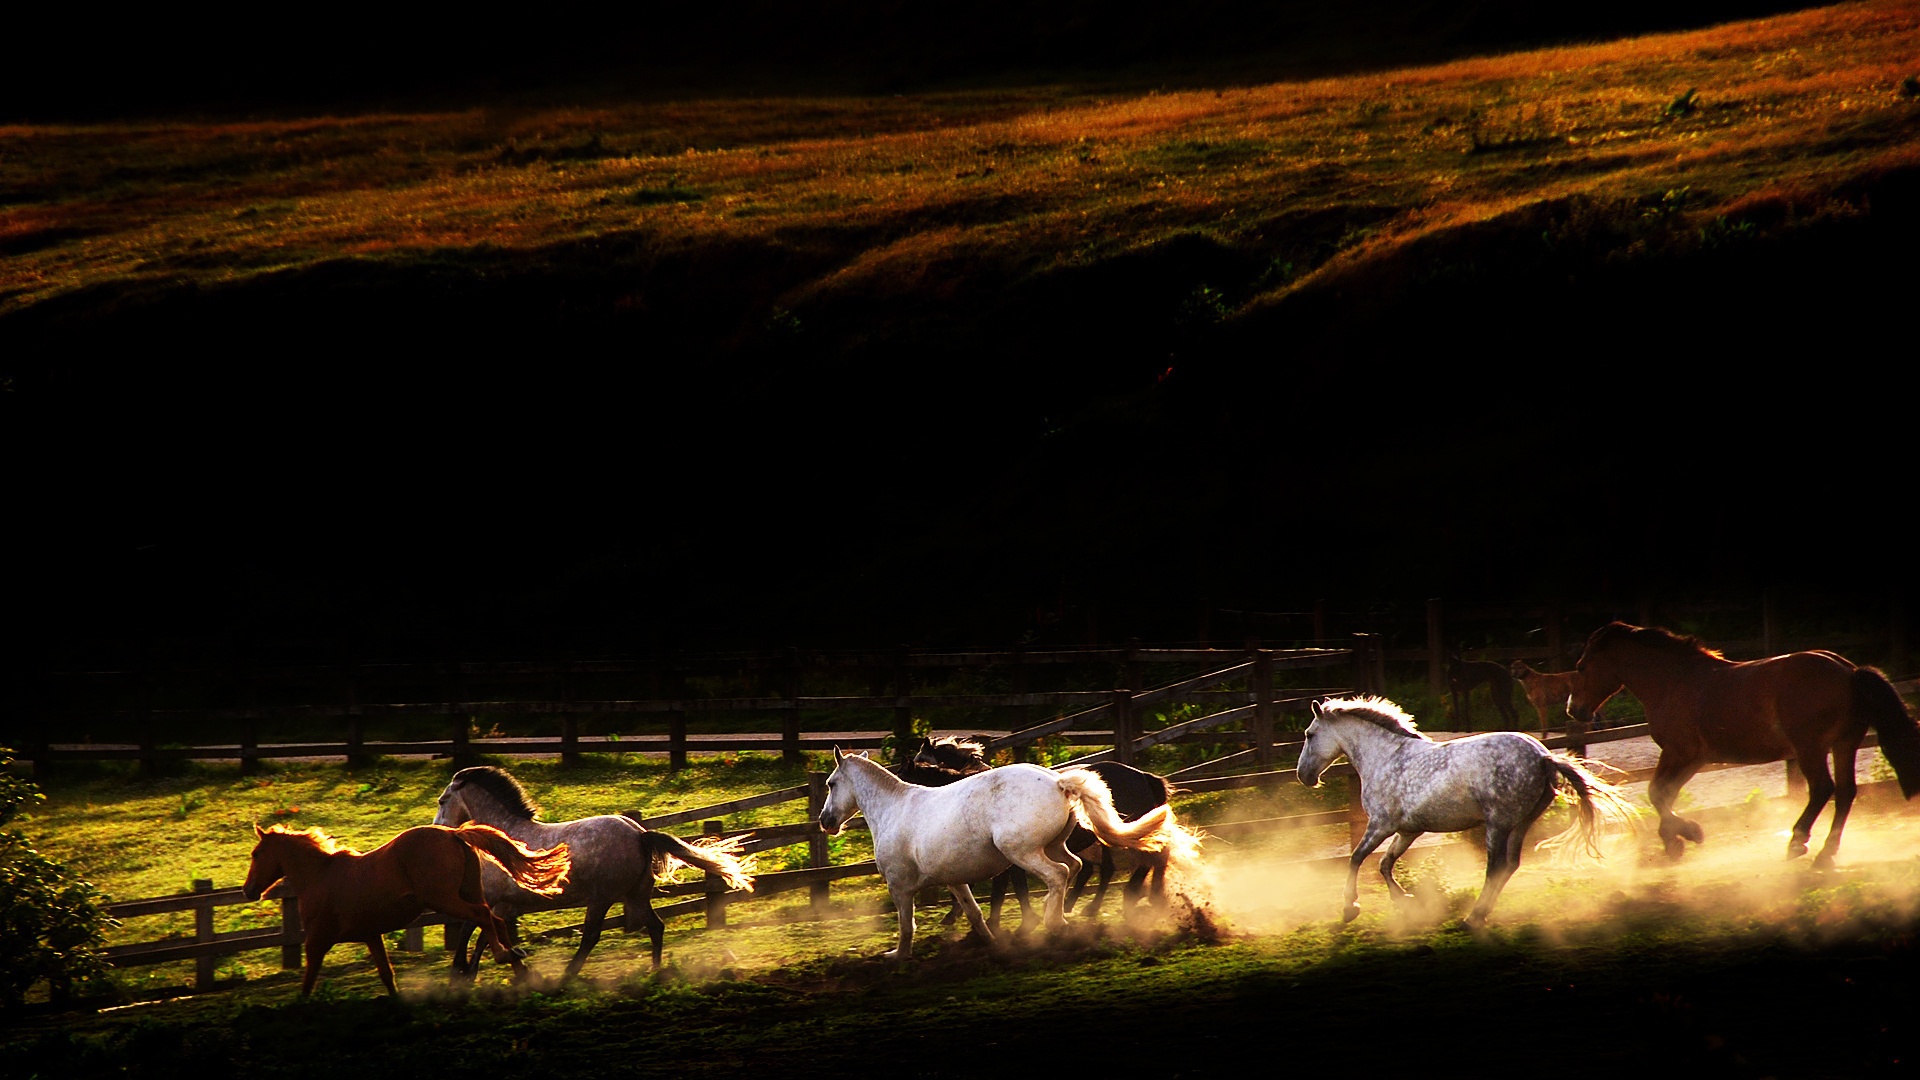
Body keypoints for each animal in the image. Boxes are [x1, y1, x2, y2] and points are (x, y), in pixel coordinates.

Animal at [241, 822, 570, 996]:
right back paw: (520, 968)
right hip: (466, 893)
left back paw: (504, 957)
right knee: (496, 920)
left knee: (483, 916)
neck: (320, 875)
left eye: (256, 853)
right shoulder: (371, 935)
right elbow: (387, 975)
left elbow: (308, 982)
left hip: (444, 899)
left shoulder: (316, 942)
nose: (248, 890)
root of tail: (452, 833)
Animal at [432, 765, 754, 979]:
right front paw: (505, 969)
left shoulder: (495, 900)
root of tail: (640, 834)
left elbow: (473, 931)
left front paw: (463, 971)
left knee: (591, 936)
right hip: (635, 896)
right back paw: (655, 969)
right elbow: (488, 935)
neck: (503, 837)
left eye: (442, 800)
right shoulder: (504, 906)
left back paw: (568, 974)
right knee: (656, 926)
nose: (437, 829)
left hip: (601, 899)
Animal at [1297, 696, 1634, 928]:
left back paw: (1474, 917)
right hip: (1520, 824)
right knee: (1511, 865)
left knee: (1496, 867)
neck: (1387, 758)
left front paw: (1350, 907)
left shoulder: (1381, 824)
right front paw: (1405, 902)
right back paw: (1481, 913)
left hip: (1497, 824)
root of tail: (1543, 757)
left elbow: (1356, 859)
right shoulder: (1409, 830)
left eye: (1309, 734)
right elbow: (1384, 864)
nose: (1304, 776)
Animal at [1566, 621, 1920, 867]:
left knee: (1823, 789)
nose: (1573, 710)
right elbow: (1664, 794)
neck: (1673, 681)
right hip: (1843, 745)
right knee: (1846, 793)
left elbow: (1657, 793)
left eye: (1581, 667)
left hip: (1810, 748)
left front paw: (1686, 835)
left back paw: (1797, 842)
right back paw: (1825, 854)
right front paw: (1675, 841)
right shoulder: (1694, 758)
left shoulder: (1680, 752)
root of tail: (1849, 671)